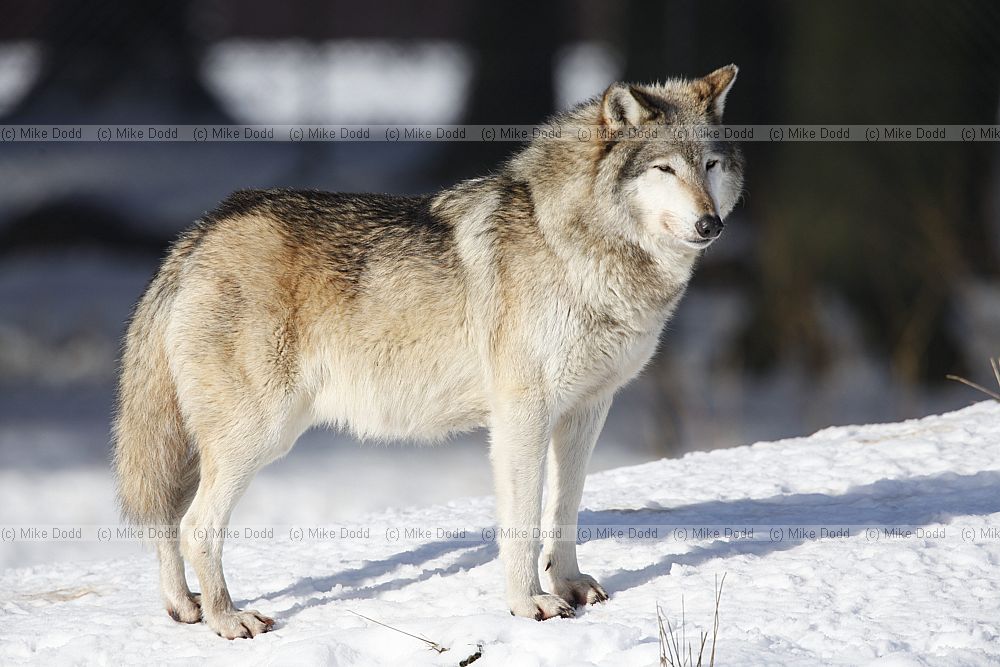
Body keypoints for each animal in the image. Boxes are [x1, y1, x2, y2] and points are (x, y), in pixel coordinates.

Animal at [112, 65, 743, 638]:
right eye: (664, 168)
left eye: (710, 165)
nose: (710, 225)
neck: (578, 243)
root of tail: (200, 231)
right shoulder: (522, 414)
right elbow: (522, 522)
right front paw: (528, 606)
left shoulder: (588, 410)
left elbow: (564, 511)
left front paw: (568, 586)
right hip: (259, 436)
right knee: (195, 526)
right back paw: (227, 619)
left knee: (168, 516)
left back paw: (185, 608)